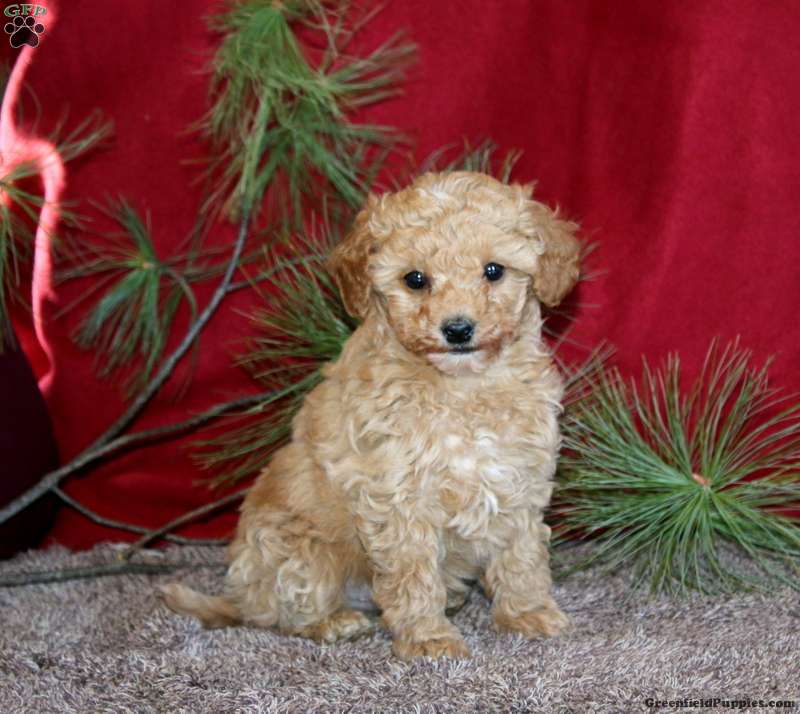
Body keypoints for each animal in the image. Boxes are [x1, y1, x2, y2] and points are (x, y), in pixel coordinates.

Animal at [161, 170, 581, 660]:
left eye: (493, 270)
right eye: (415, 279)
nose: (458, 329)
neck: (462, 386)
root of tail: (241, 596)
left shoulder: (519, 477)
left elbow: (521, 556)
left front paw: (527, 612)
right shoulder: (399, 497)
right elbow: (413, 574)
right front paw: (428, 637)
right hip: (301, 552)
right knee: (282, 613)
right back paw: (334, 622)